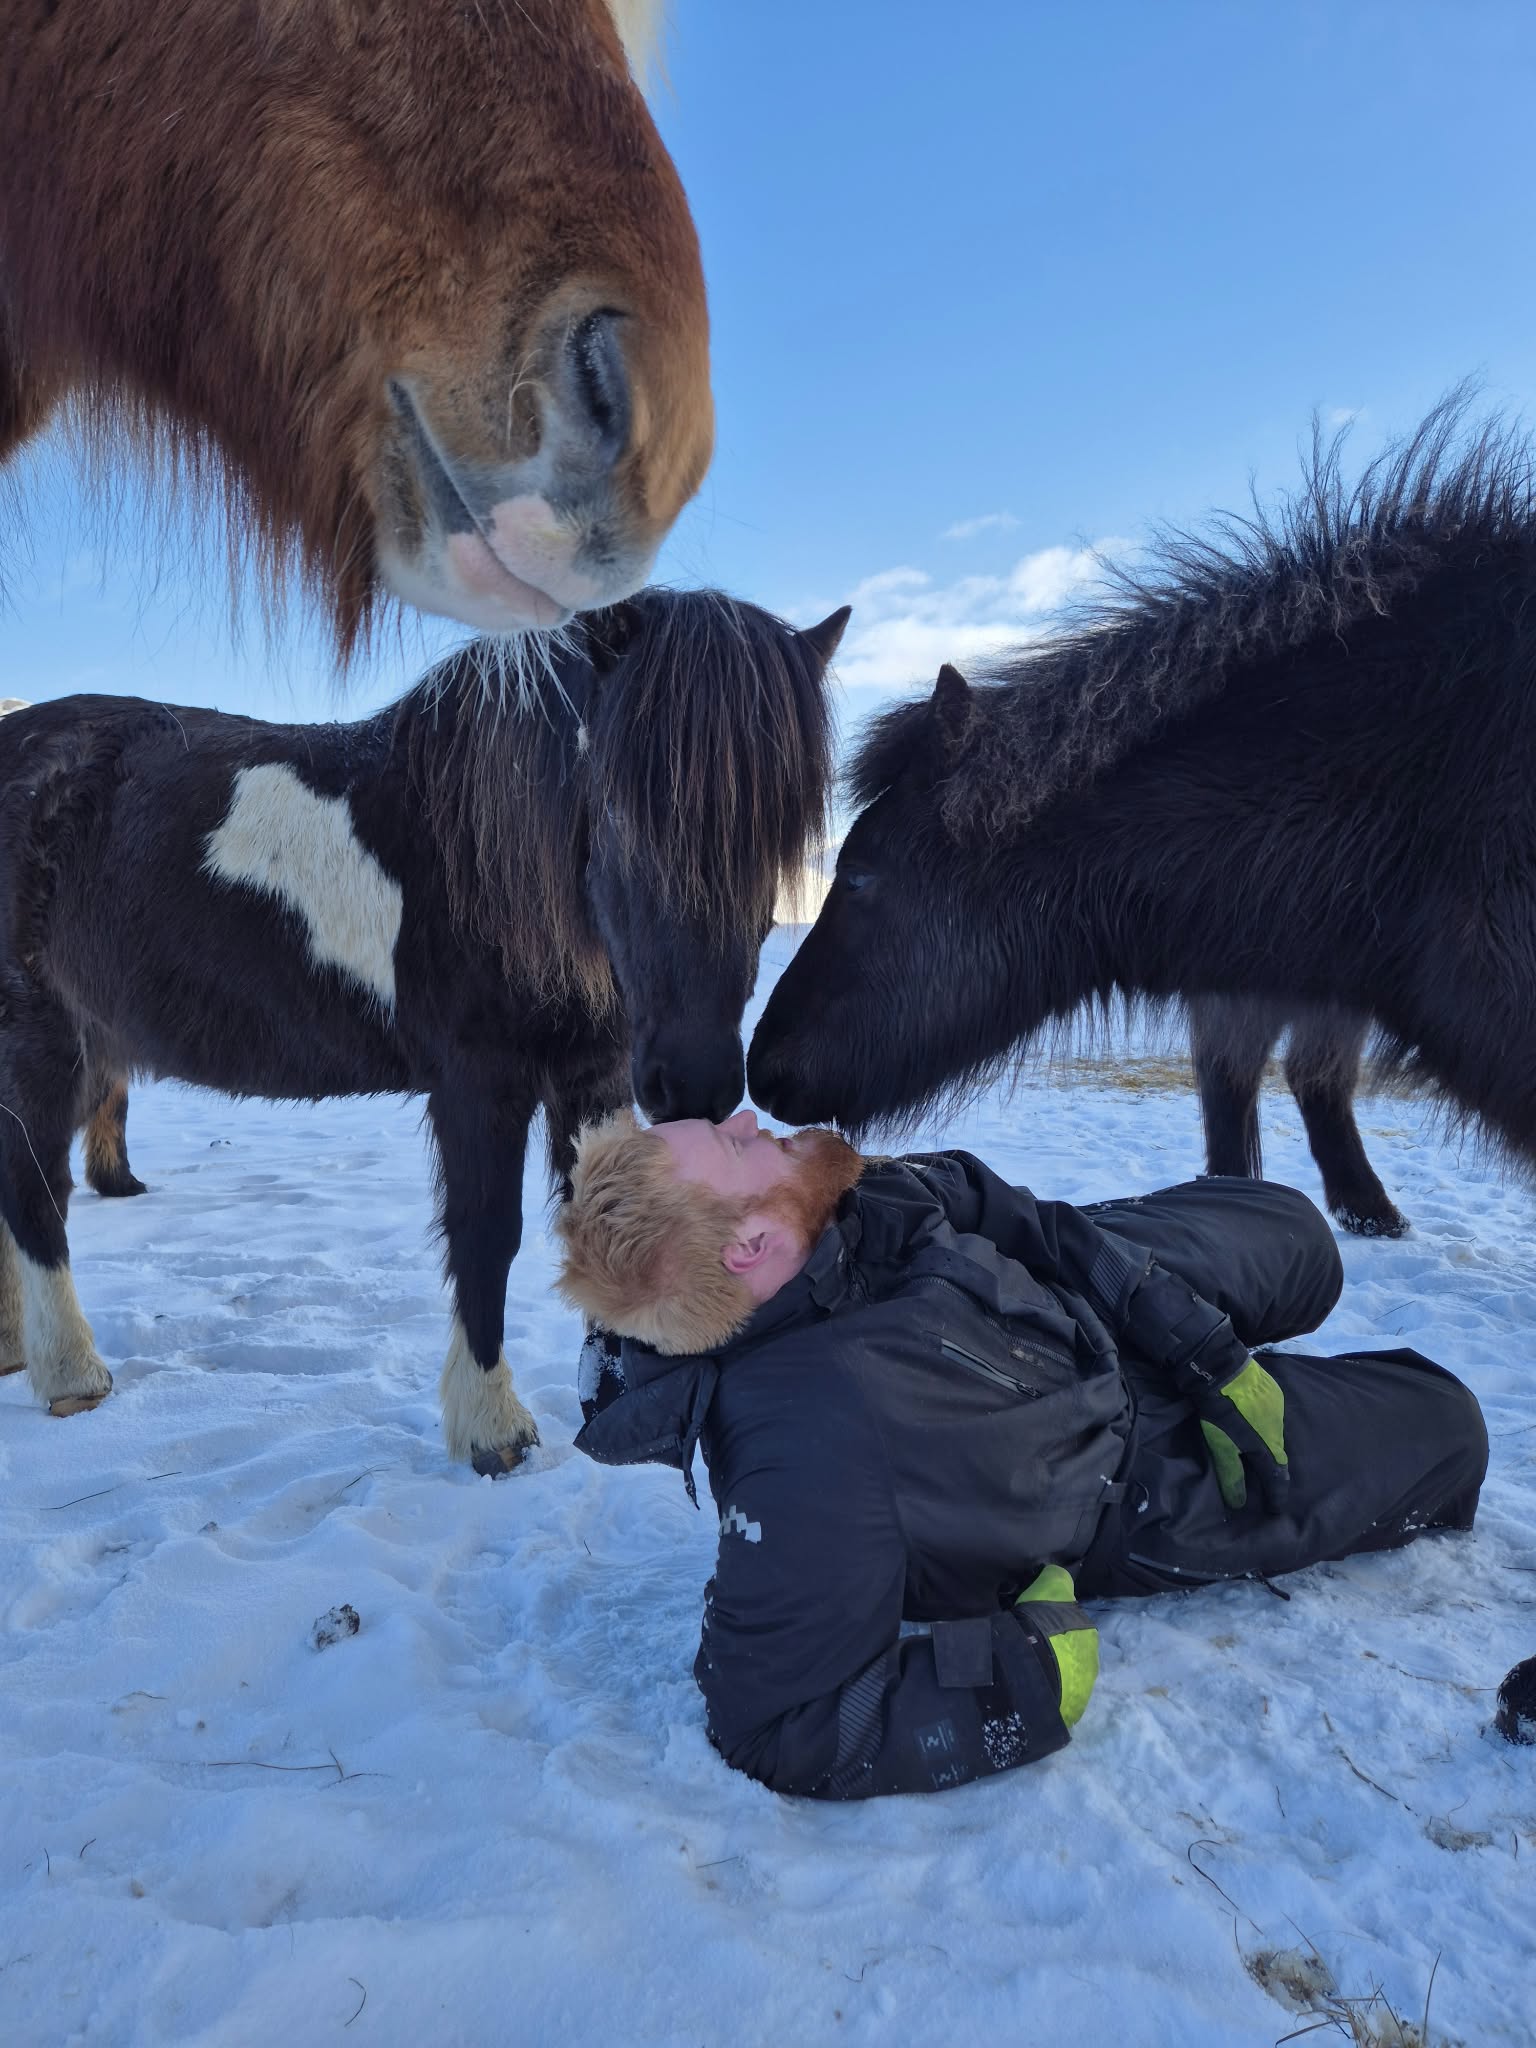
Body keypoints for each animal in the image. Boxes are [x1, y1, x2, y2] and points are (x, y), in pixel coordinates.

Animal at [0, 589, 844, 1470]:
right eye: (615, 805)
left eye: (783, 833)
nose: (696, 1082)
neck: (476, 855)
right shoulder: (479, 1084)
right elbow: (487, 1235)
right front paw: (492, 1427)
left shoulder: (595, 1076)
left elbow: (612, 1214)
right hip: (43, 1041)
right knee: (34, 1195)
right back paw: (69, 1373)